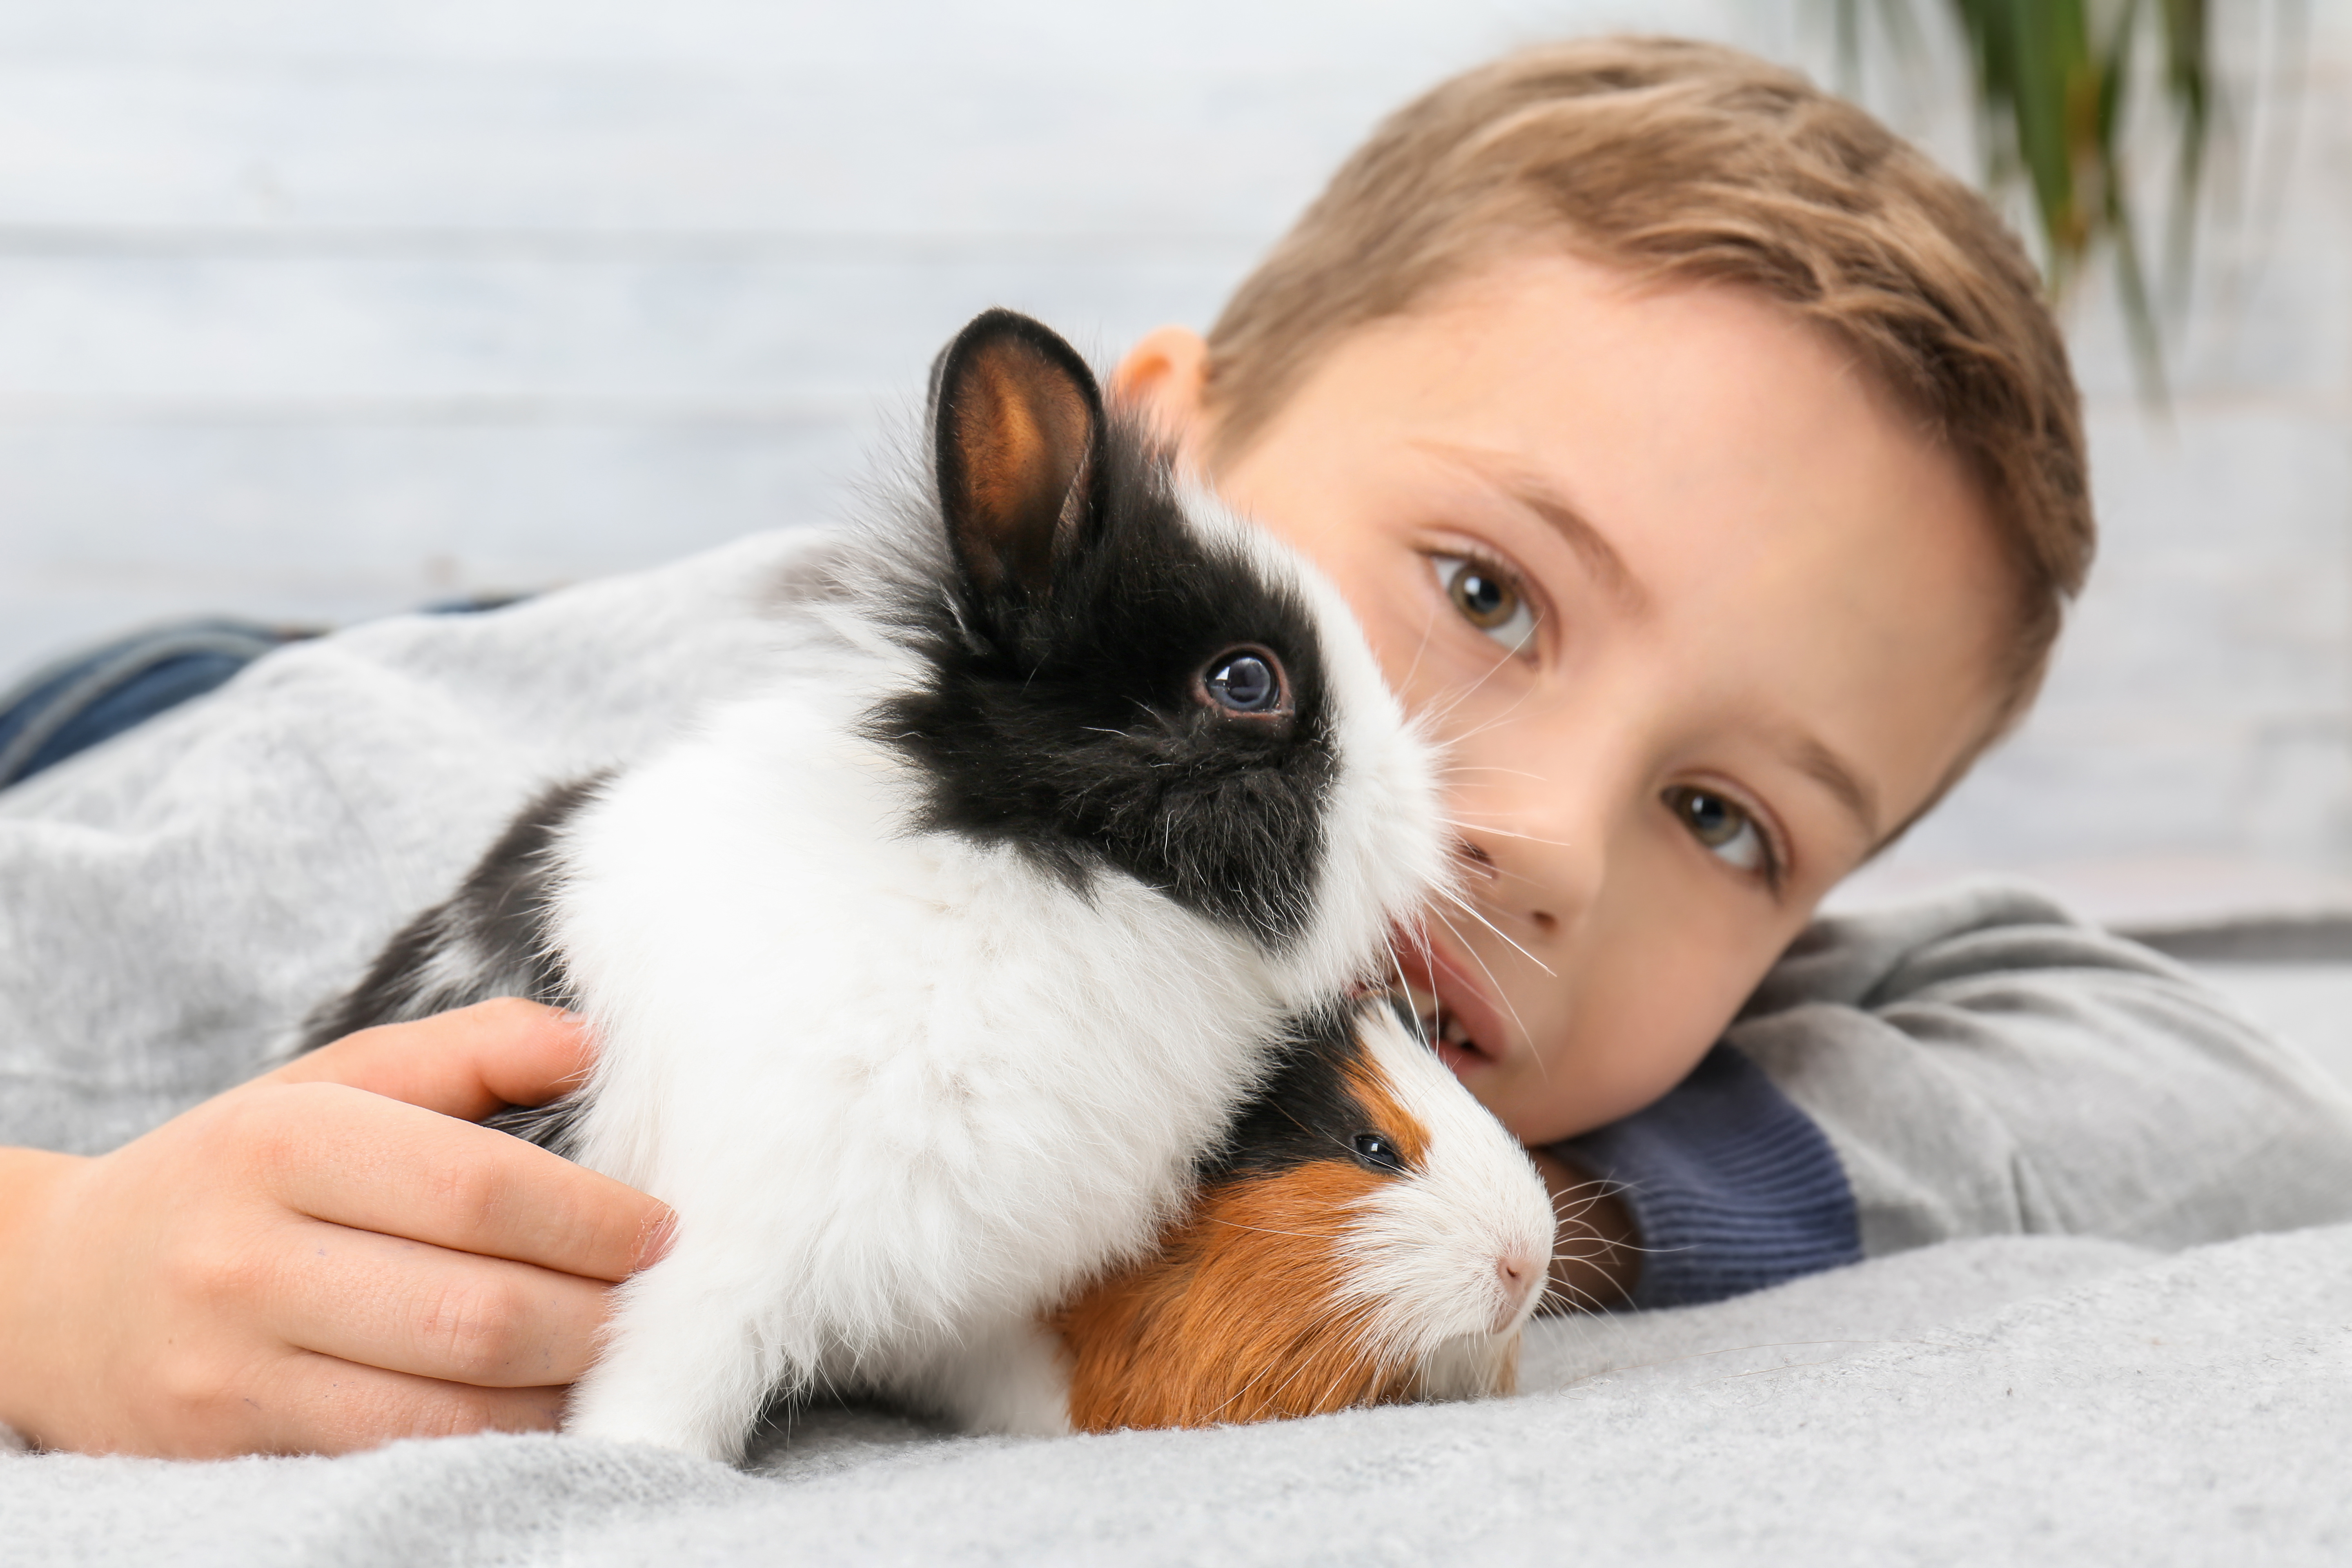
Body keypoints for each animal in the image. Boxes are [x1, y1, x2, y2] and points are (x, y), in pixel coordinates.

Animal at [313, 305, 1449, 1457]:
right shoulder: (715, 1263)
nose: (1424, 811)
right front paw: (635, 1462)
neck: (1024, 862)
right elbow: (661, 1393)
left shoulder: (966, 1288)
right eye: (1245, 680)